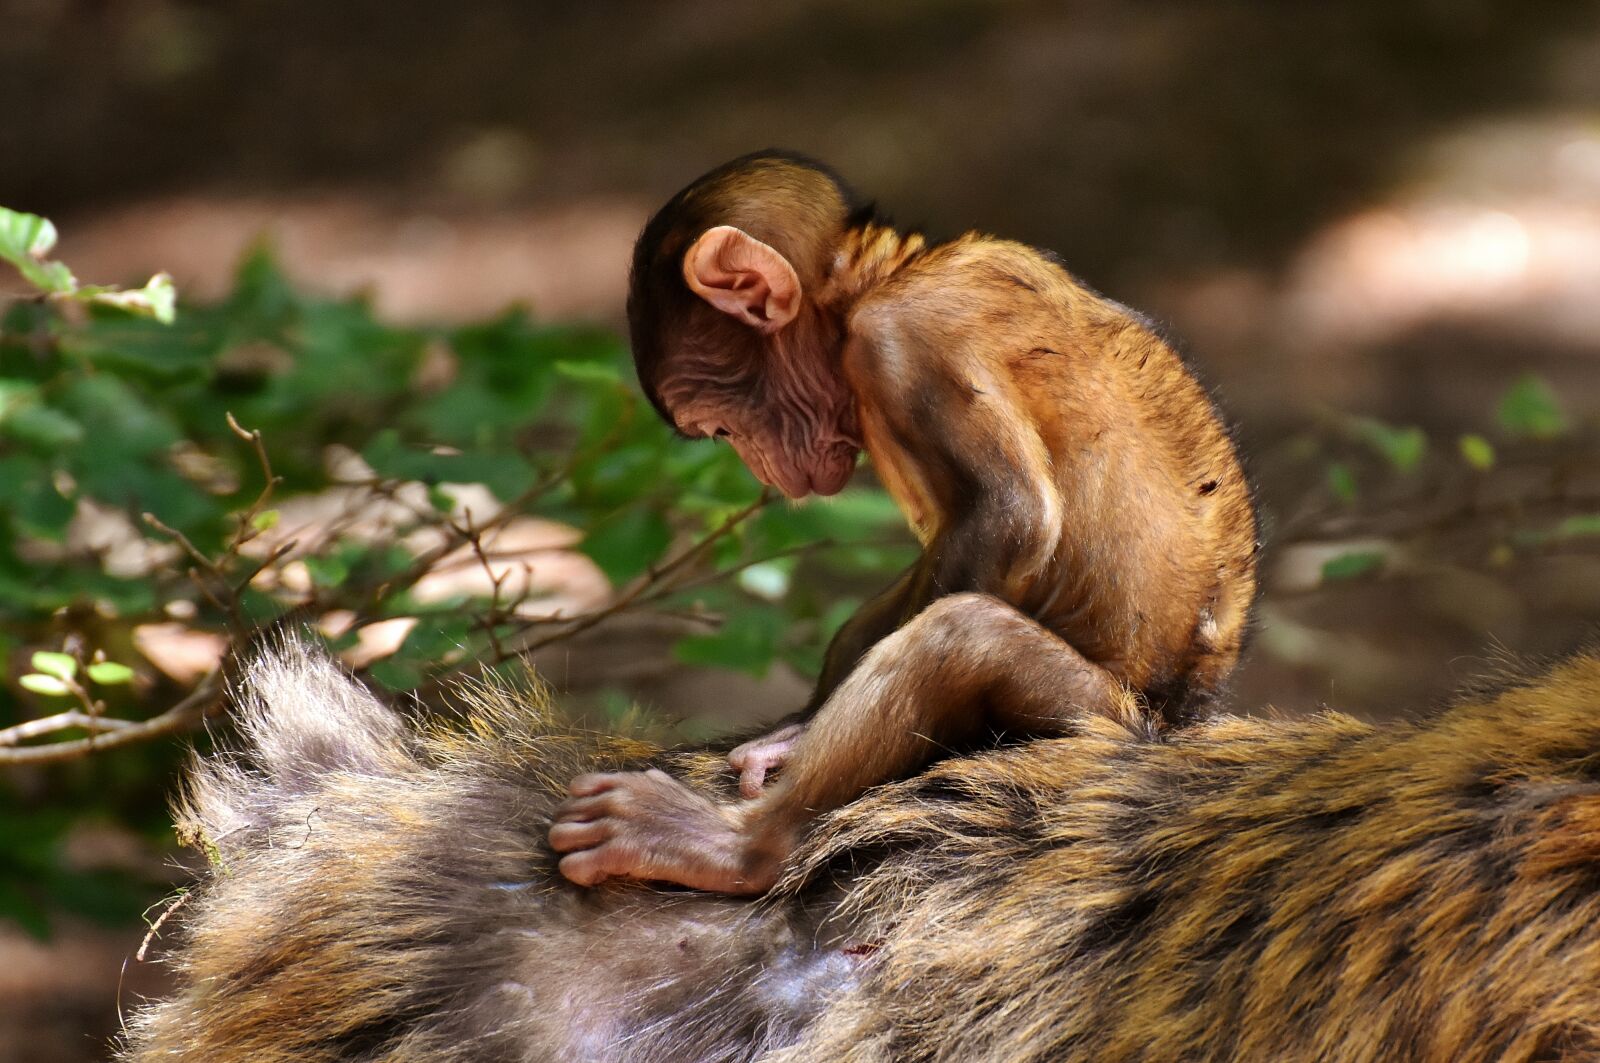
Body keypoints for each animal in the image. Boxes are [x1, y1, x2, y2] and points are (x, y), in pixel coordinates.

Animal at [548, 151, 1259, 895]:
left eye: (718, 425)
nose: (760, 467)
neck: (883, 279)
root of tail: (1185, 718)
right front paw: (800, 721)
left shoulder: (900, 339)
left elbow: (1008, 515)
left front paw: (795, 743)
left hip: (1097, 717)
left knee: (963, 636)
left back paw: (741, 846)